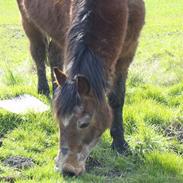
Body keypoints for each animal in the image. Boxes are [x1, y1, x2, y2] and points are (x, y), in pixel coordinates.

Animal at [17, 0, 146, 176]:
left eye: (84, 124)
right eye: (58, 121)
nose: (67, 170)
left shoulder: (127, 53)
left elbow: (117, 99)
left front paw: (120, 144)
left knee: (53, 55)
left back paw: (56, 90)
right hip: (29, 22)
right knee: (38, 53)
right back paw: (43, 88)